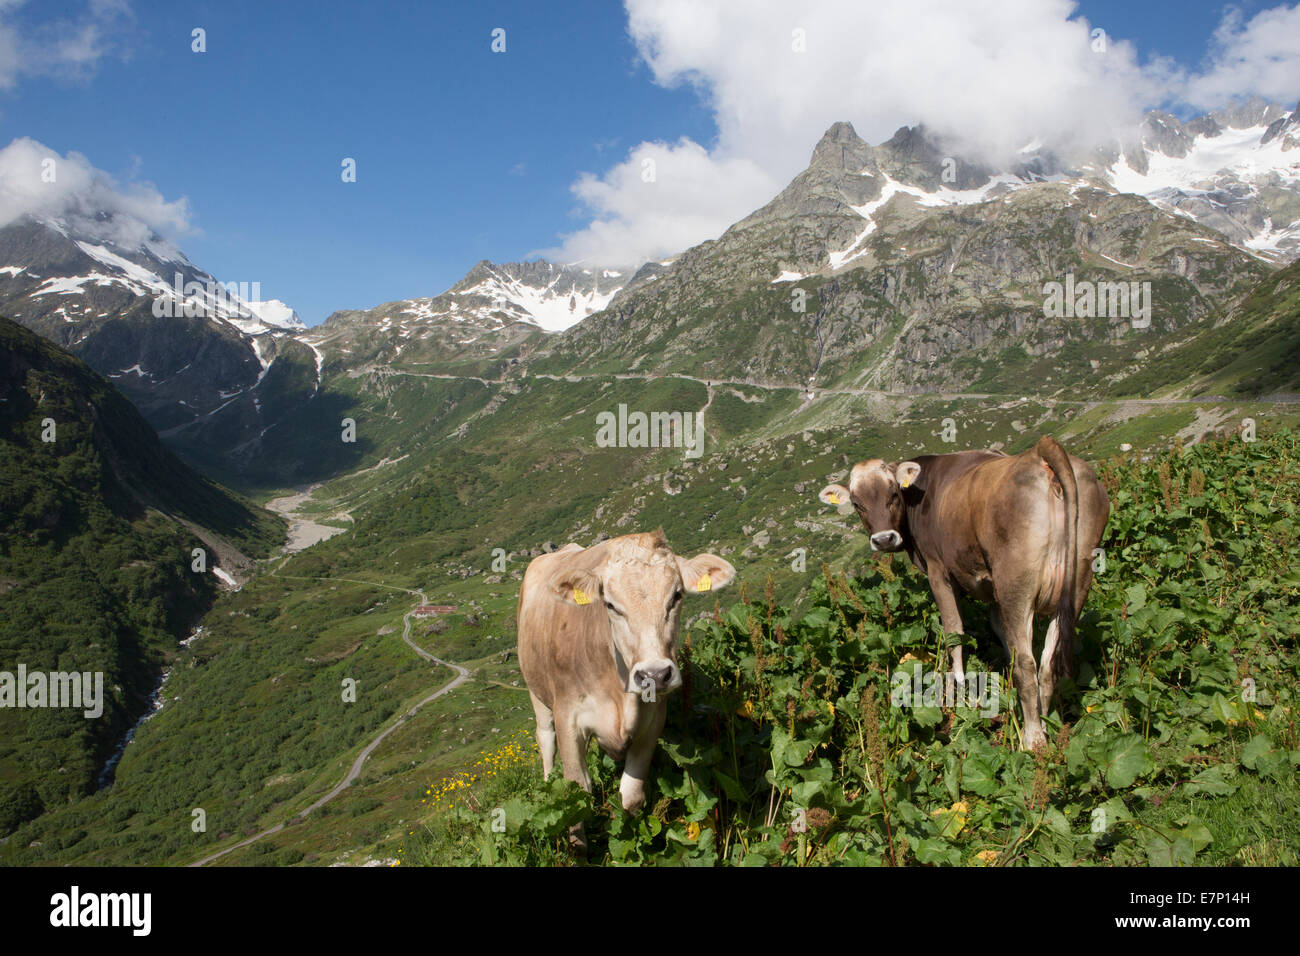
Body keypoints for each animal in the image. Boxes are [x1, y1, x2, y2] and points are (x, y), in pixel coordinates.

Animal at [514, 530, 738, 842]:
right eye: (610, 604)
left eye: (676, 595)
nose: (655, 674)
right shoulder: (568, 717)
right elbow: (576, 797)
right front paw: (578, 846)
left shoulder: (652, 722)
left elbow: (630, 796)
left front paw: (628, 834)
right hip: (536, 693)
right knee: (546, 740)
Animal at [821, 437, 1107, 749]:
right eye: (857, 504)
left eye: (894, 494)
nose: (884, 539)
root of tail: (1041, 451)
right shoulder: (990, 584)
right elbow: (998, 628)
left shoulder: (938, 571)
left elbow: (954, 631)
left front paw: (956, 691)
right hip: (1078, 581)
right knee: (1047, 662)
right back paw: (1045, 722)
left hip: (1015, 583)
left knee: (1027, 662)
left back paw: (1032, 739)